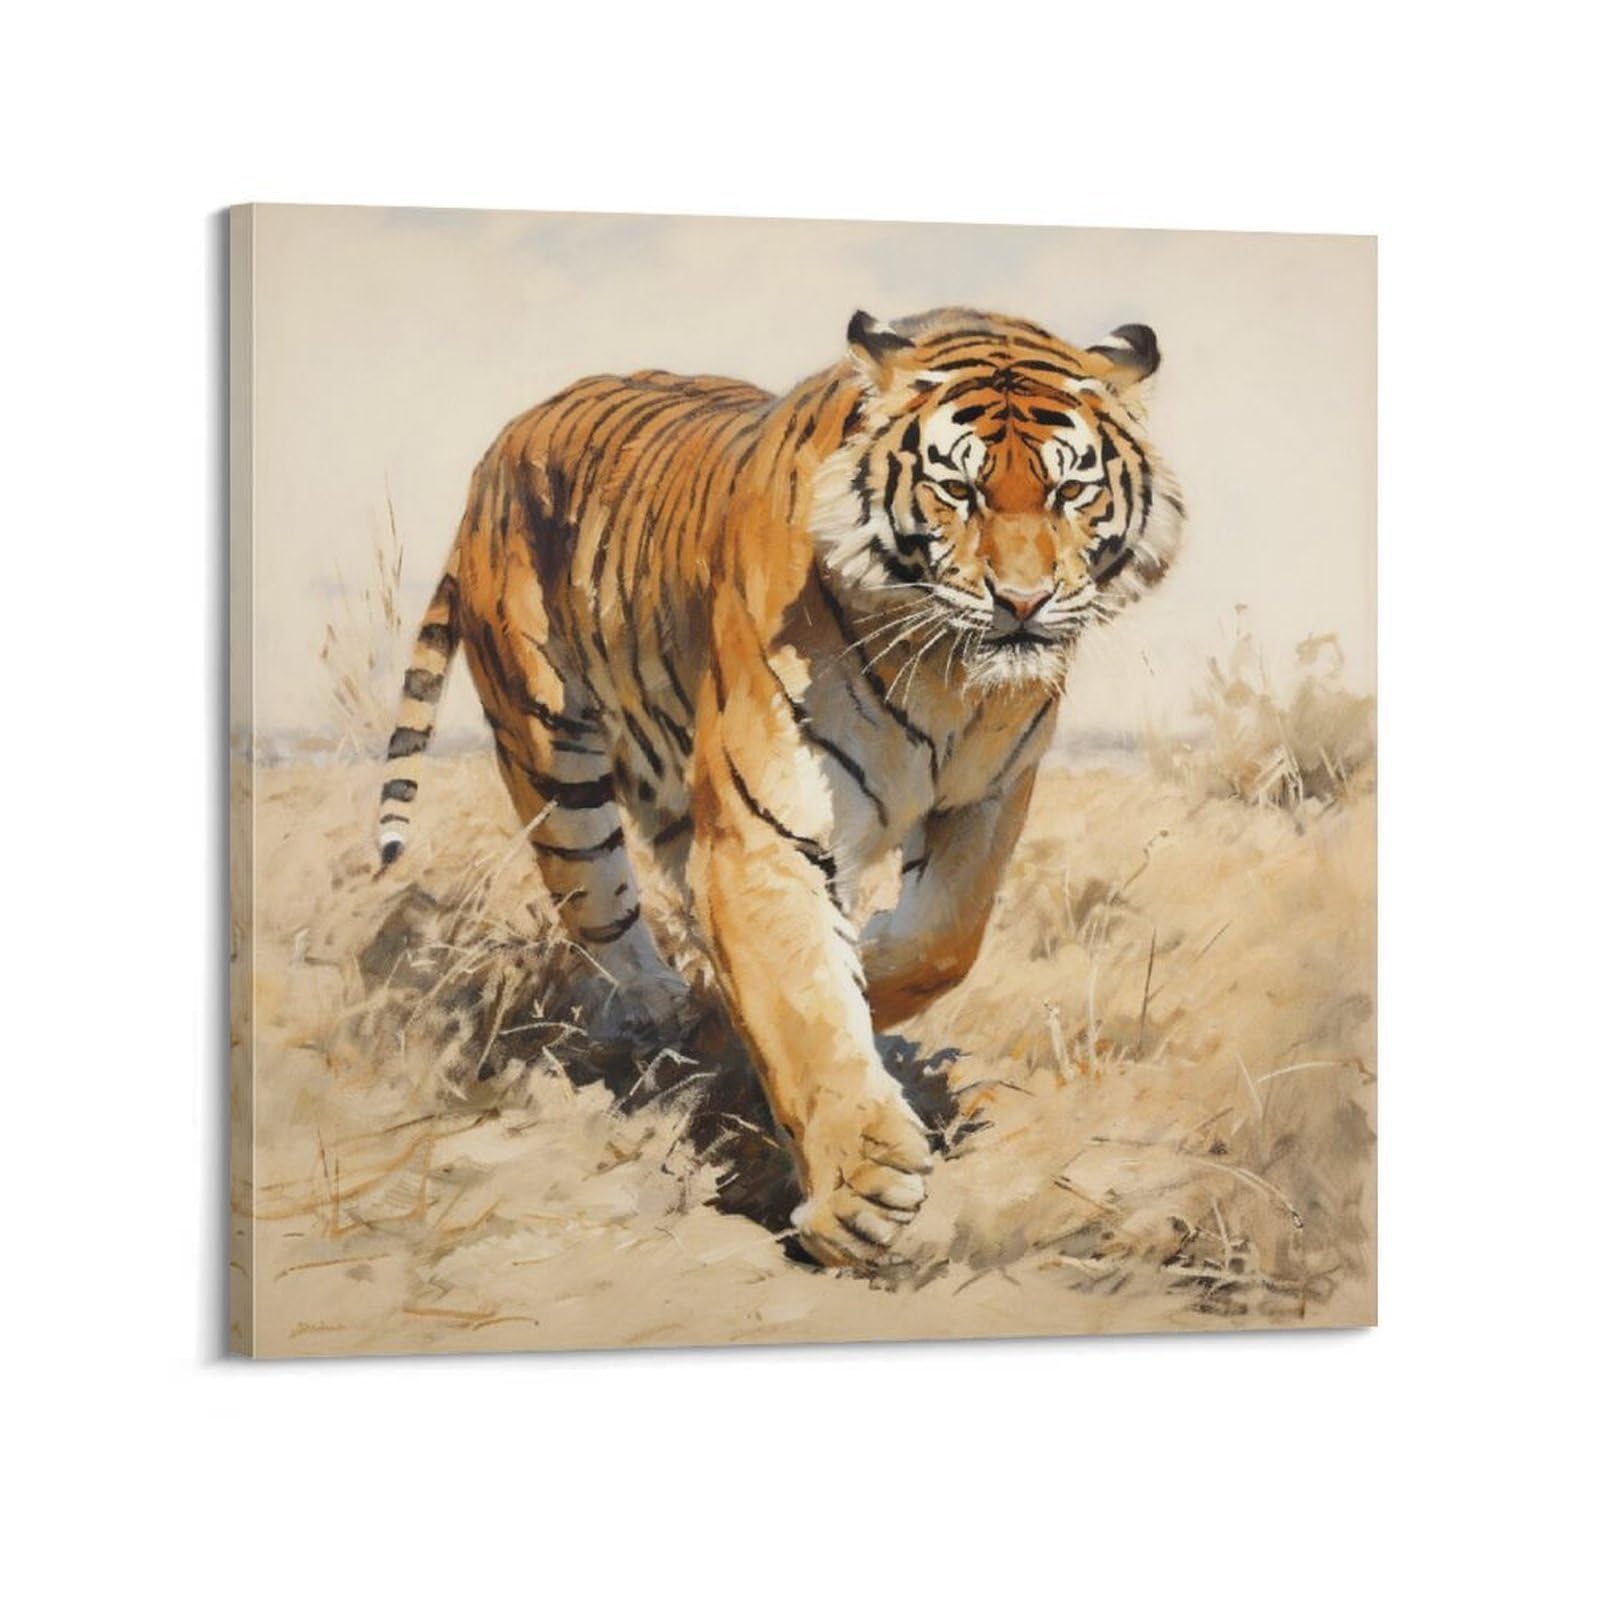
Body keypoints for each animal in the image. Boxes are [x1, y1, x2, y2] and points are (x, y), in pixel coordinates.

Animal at [377, 307, 1184, 1271]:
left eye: (1070, 491)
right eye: (958, 490)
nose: (1022, 603)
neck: (949, 673)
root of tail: (502, 447)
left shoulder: (989, 795)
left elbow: (945, 939)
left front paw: (870, 957)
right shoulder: (765, 828)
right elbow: (803, 1001)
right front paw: (861, 1191)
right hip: (551, 755)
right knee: (602, 911)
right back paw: (660, 1014)